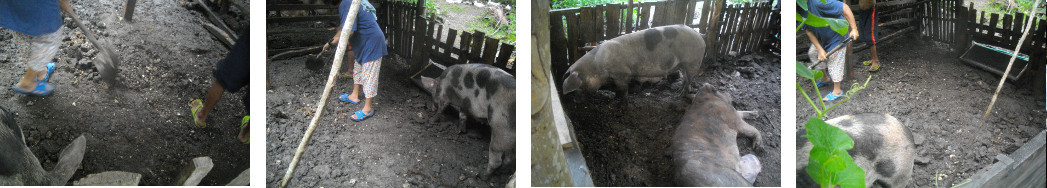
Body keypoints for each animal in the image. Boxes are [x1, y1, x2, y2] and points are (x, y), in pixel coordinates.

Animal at [561, 24, 707, 103]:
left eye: (579, 86)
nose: (574, 100)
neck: (598, 65)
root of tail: (700, 35)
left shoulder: (622, 73)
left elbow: (623, 89)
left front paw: (622, 104)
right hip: (683, 64)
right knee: (685, 78)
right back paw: (678, 91)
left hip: (693, 61)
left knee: (689, 79)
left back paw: (679, 96)